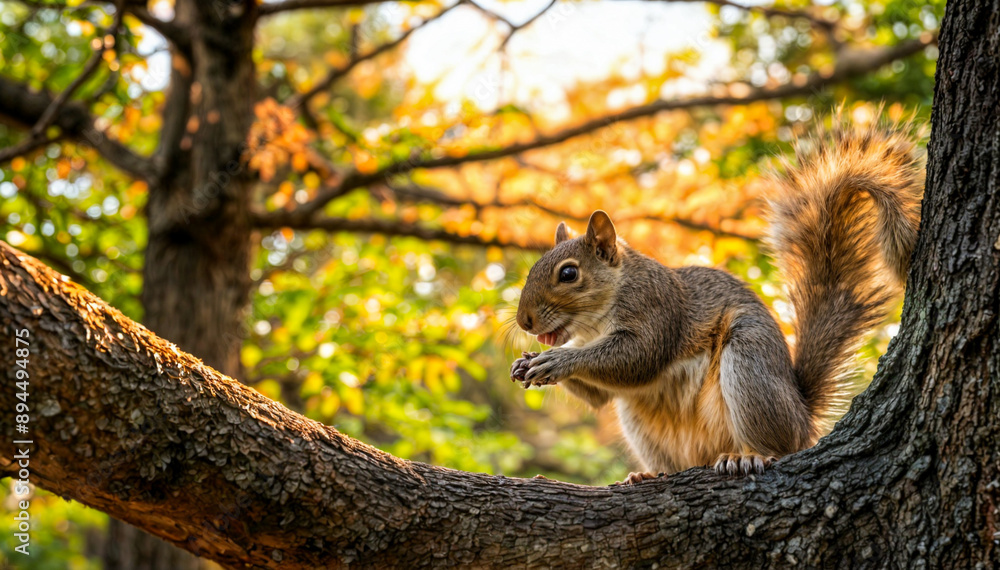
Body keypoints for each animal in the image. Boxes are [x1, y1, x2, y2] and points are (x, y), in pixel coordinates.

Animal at [510, 121, 924, 481]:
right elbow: (598, 396)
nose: (524, 321)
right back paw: (649, 474)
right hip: (641, 421)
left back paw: (750, 456)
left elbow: (638, 358)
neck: (598, 318)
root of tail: (803, 418)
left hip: (749, 363)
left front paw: (557, 360)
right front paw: (525, 362)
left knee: (774, 443)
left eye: (568, 274)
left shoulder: (657, 309)